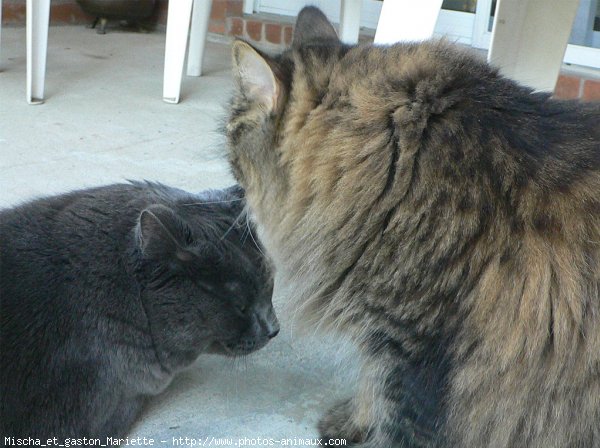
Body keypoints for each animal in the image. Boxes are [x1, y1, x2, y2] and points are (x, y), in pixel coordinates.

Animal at [224, 7, 600, 448]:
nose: (233, 183)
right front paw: (353, 421)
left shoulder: (415, 354)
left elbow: (397, 421)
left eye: (230, 140)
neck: (396, 161)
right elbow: (371, 383)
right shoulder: (382, 343)